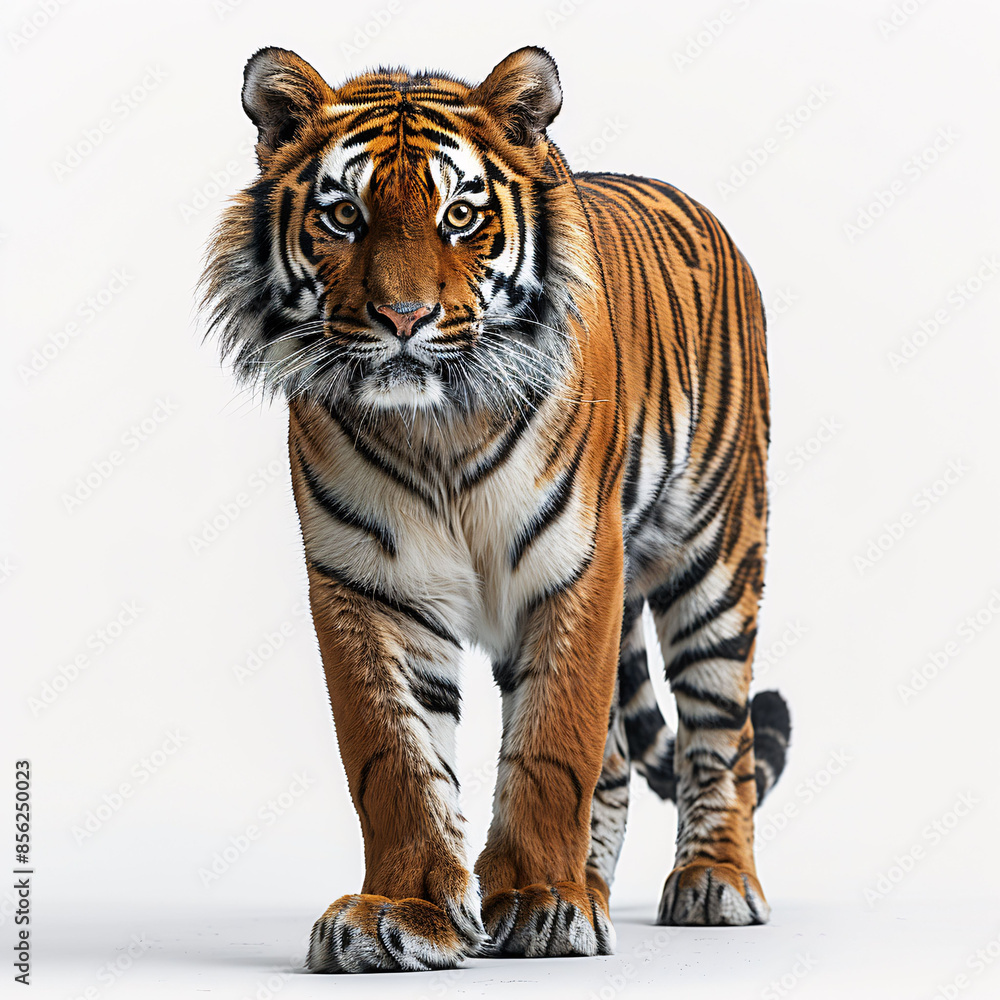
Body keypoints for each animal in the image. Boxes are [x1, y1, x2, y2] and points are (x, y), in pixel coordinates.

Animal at [201, 45, 791, 972]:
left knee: (718, 734)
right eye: (344, 216)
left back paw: (713, 882)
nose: (404, 316)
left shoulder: (576, 566)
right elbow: (394, 759)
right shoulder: (369, 584)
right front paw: (400, 912)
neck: (435, 428)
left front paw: (545, 902)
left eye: (460, 215)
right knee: (619, 759)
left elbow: (554, 745)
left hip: (719, 554)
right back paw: (598, 884)